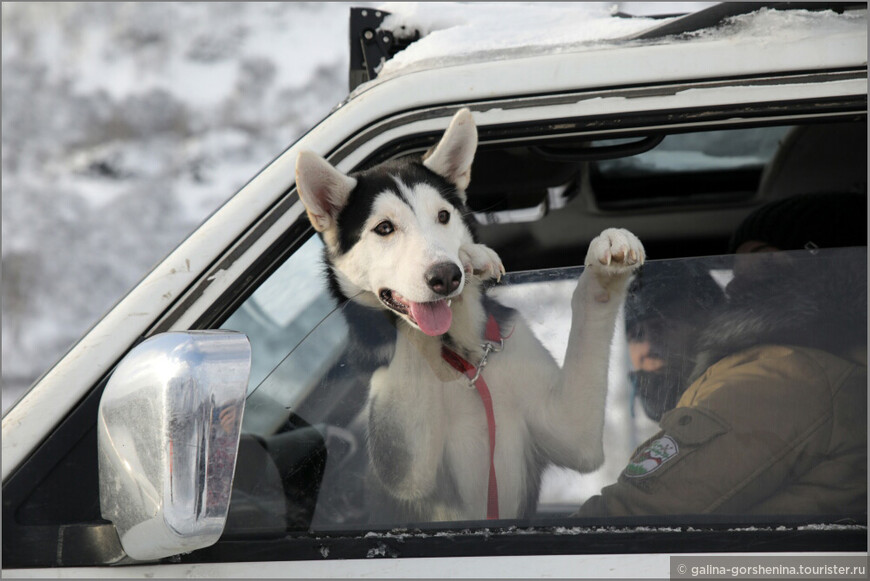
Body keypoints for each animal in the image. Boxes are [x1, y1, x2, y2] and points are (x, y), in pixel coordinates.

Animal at [296, 107, 644, 520]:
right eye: (384, 228)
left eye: (443, 216)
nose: (446, 275)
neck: (459, 355)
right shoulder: (405, 469)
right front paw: (470, 259)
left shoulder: (570, 427)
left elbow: (593, 301)